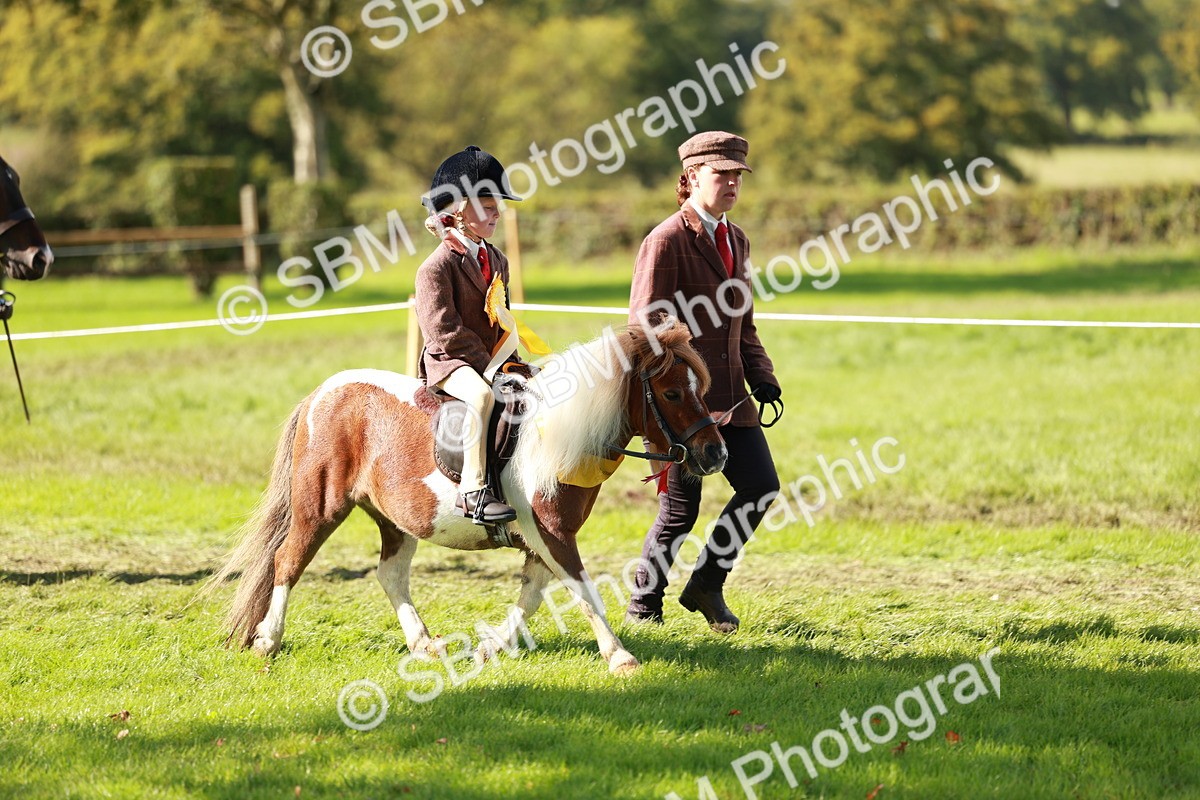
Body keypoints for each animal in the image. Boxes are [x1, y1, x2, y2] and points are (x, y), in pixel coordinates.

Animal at [205, 320, 728, 675]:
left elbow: (531, 596)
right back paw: (268, 641)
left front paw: (492, 646)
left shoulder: (543, 539)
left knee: (390, 575)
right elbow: (584, 592)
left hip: (395, 520)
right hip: (320, 507)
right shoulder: (552, 534)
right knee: (288, 561)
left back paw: (424, 644)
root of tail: (320, 394)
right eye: (671, 393)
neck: (558, 435)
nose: (715, 454)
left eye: (699, 387)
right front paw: (620, 656)